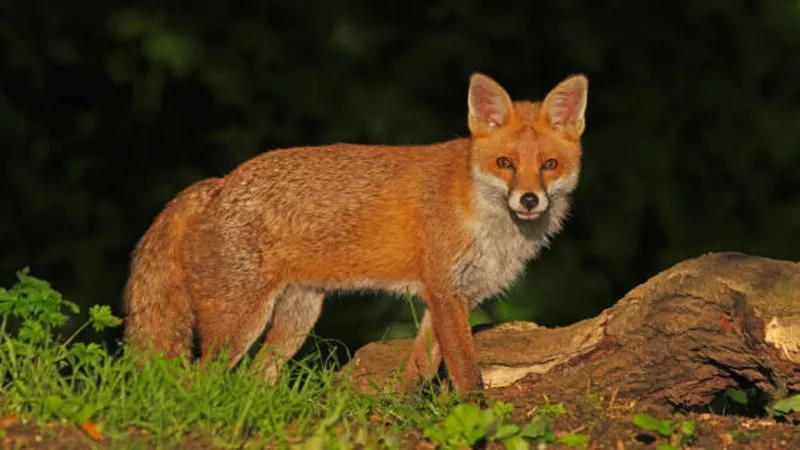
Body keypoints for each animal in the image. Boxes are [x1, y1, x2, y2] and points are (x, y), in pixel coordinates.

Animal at [123, 72, 589, 397]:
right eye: (505, 163)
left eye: (549, 165)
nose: (529, 200)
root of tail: (217, 184)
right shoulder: (446, 293)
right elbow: (465, 371)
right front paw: (477, 417)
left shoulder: (451, 298)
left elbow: (420, 369)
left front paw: (402, 411)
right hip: (241, 322)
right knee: (203, 380)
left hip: (296, 319)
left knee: (256, 378)